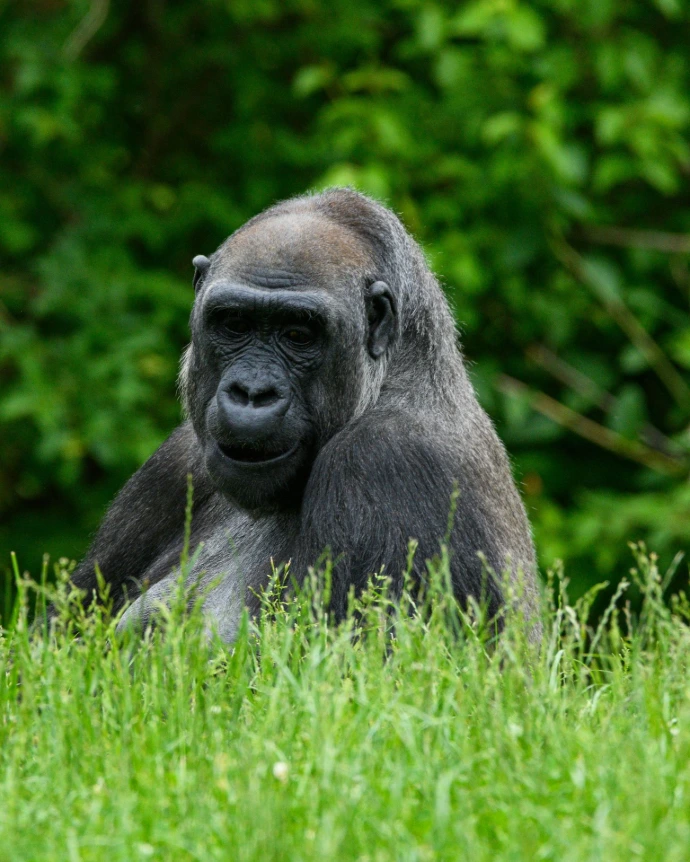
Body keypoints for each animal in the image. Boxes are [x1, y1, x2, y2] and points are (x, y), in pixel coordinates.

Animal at [59, 188, 541, 641]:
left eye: (298, 334)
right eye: (234, 324)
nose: (253, 393)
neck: (402, 372)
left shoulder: (386, 457)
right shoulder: (175, 461)